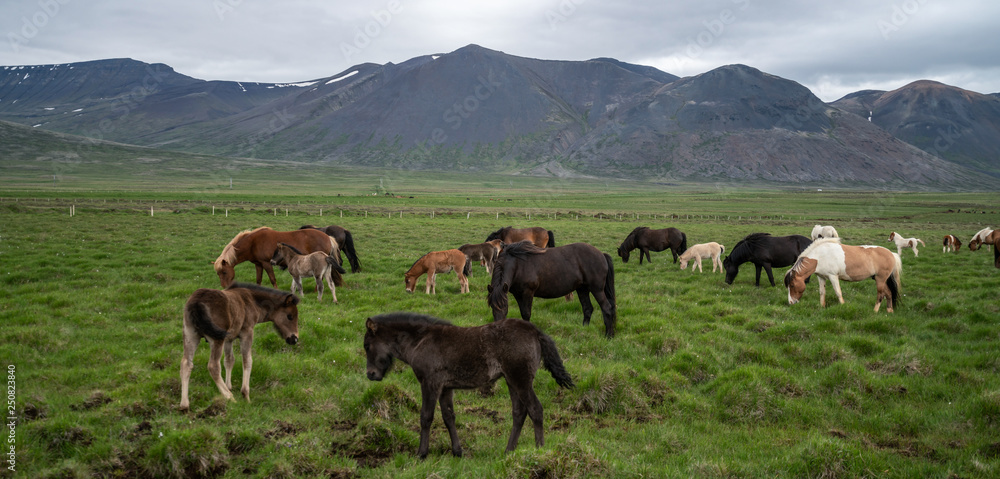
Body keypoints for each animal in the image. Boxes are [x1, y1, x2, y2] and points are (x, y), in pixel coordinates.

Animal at [364, 314, 576, 460]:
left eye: (367, 345)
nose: (371, 374)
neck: (420, 340)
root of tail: (535, 331)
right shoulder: (446, 388)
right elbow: (449, 417)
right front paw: (457, 452)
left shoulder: (430, 383)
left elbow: (426, 417)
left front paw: (421, 454)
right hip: (511, 381)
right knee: (519, 413)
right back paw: (508, 451)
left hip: (520, 380)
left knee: (535, 409)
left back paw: (539, 450)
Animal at [486, 242, 616, 340]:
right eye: (491, 306)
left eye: (504, 306)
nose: (497, 329)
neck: (518, 264)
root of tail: (601, 254)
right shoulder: (518, 295)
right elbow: (523, 313)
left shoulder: (528, 293)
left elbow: (526, 314)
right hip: (582, 289)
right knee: (587, 308)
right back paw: (584, 330)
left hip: (597, 290)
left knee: (607, 308)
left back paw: (608, 336)